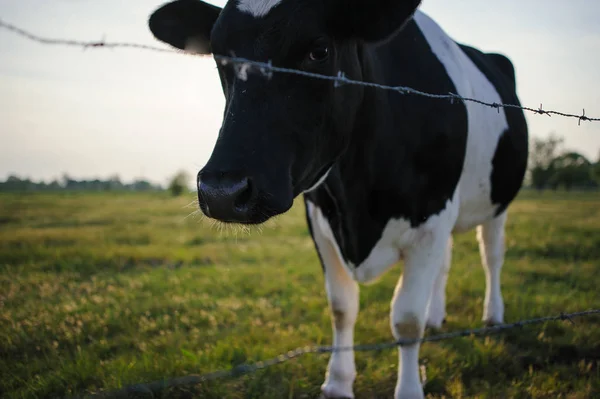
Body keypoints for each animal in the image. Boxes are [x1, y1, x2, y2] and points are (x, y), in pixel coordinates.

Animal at [150, 0, 528, 396]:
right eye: (220, 56)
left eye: (319, 50)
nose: (222, 191)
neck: (359, 200)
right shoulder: (320, 217)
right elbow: (342, 306)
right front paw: (338, 382)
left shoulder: (431, 215)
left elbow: (406, 319)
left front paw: (408, 388)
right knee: (446, 262)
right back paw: (436, 317)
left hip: (497, 203)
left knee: (492, 256)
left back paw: (493, 316)